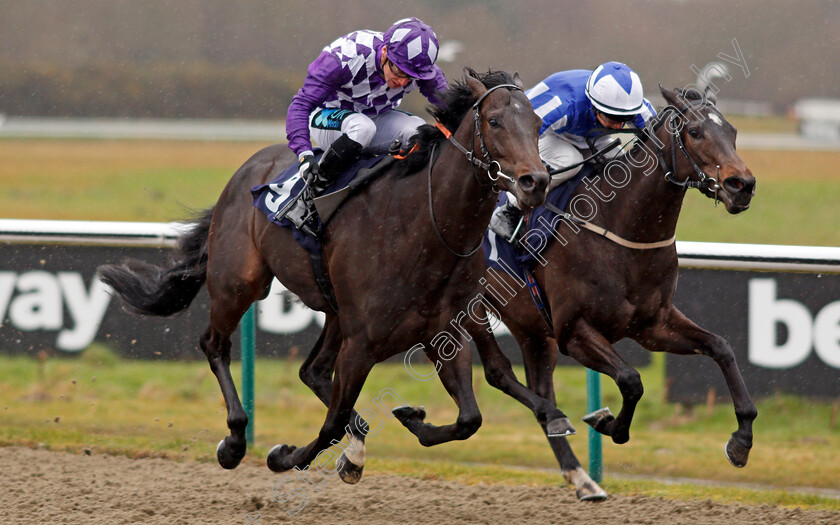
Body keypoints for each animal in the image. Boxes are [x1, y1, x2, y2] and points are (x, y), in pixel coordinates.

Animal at [98, 68, 572, 474]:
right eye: (494, 121)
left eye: (537, 124)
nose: (535, 182)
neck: (424, 224)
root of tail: (247, 169)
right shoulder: (362, 342)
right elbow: (329, 425)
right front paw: (283, 455)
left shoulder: (443, 329)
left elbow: (469, 418)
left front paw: (409, 418)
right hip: (238, 281)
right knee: (214, 344)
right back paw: (234, 440)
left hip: (335, 310)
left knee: (312, 371)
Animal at [462, 84, 756, 498]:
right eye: (695, 132)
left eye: (732, 131)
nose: (741, 185)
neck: (621, 227)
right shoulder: (573, 332)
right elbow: (631, 380)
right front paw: (608, 424)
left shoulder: (653, 325)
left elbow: (721, 347)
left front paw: (741, 441)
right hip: (468, 308)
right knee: (497, 372)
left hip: (531, 329)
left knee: (540, 387)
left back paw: (580, 474)